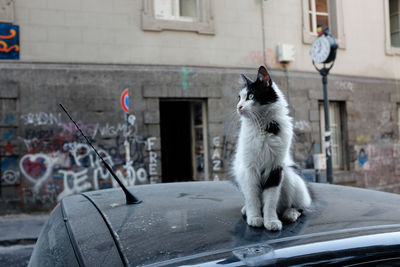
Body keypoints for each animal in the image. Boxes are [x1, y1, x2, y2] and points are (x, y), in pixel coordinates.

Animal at [231, 66, 312, 231]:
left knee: (299, 207)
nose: (238, 107)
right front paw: (255, 218)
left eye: (250, 96)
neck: (263, 127)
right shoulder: (249, 169)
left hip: (290, 175)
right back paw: (246, 210)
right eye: (239, 98)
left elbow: (270, 200)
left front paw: (271, 221)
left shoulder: (275, 169)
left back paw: (289, 214)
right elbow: (253, 198)